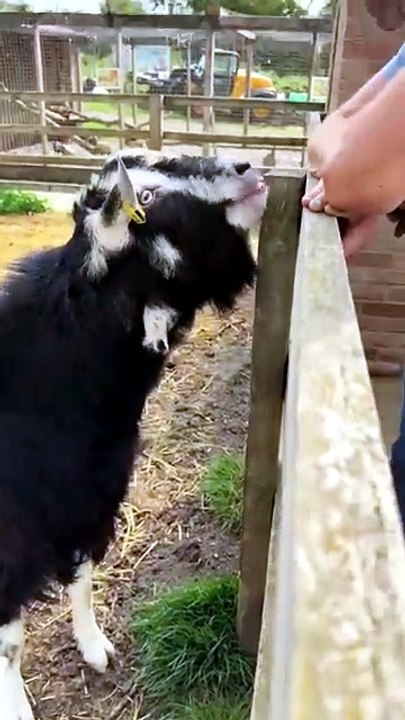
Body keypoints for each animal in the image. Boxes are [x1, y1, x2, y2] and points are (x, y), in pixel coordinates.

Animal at [0, 150, 267, 719]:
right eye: (145, 197)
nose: (246, 168)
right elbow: (10, 643)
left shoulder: (89, 501)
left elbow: (80, 576)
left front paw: (94, 646)